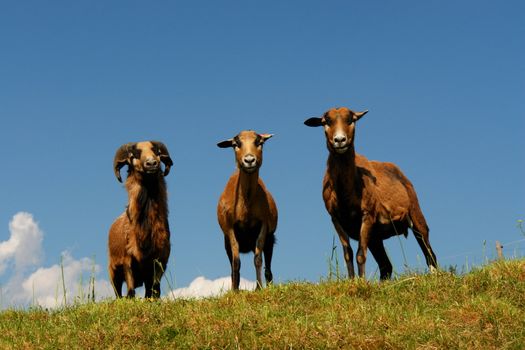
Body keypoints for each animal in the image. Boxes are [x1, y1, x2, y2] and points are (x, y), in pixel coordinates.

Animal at [107, 141, 173, 296]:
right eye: (134, 155)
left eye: (157, 152)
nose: (152, 163)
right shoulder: (127, 261)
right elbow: (130, 292)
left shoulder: (160, 262)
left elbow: (154, 291)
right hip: (113, 271)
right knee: (118, 293)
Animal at [216, 131, 278, 290]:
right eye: (235, 144)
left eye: (260, 142)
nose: (249, 160)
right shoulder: (230, 228)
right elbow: (236, 262)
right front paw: (235, 290)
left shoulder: (263, 224)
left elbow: (258, 258)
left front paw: (259, 287)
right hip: (226, 242)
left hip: (270, 238)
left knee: (268, 265)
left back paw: (269, 284)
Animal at [304, 107, 436, 278]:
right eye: (325, 122)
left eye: (351, 120)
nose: (339, 140)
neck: (344, 194)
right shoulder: (336, 219)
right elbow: (348, 254)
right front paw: (352, 280)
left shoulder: (367, 215)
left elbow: (360, 254)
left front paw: (361, 280)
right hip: (376, 237)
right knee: (386, 265)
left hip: (416, 214)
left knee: (429, 254)